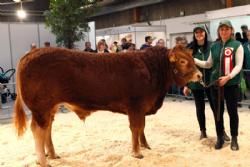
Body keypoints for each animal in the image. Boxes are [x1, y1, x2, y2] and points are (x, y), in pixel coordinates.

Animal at [13, 45, 201, 166]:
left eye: (192, 59)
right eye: (182, 61)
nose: (199, 75)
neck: (152, 69)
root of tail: (30, 53)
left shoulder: (141, 108)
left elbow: (142, 128)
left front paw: (145, 146)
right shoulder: (136, 106)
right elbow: (136, 128)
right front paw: (137, 152)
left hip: (50, 108)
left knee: (47, 129)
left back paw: (51, 155)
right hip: (41, 107)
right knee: (38, 130)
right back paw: (43, 161)